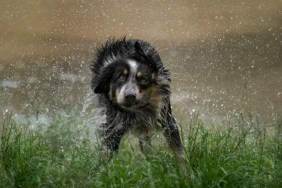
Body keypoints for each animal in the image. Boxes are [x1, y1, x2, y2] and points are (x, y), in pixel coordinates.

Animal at [90, 37, 185, 166]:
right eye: (120, 77)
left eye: (143, 80)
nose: (130, 96)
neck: (138, 110)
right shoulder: (114, 125)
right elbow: (107, 153)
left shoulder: (165, 118)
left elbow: (178, 150)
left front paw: (186, 170)